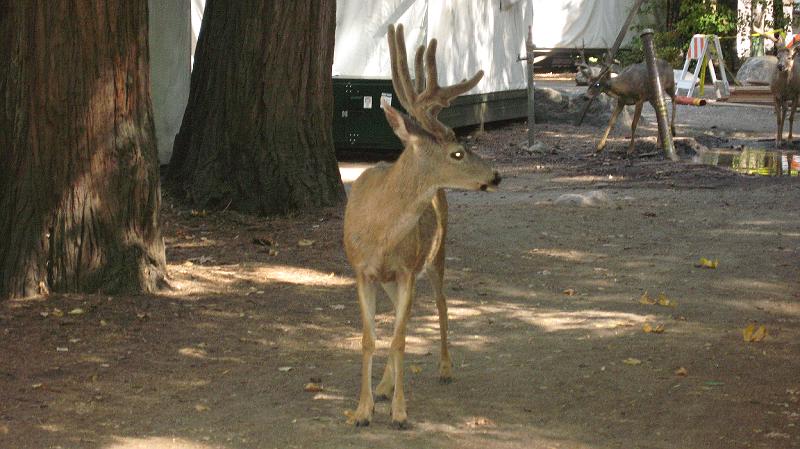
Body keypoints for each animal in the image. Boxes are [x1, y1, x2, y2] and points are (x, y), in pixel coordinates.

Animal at [343, 24, 500, 429]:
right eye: (457, 152)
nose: (497, 175)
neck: (380, 229)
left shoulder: (407, 269)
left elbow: (398, 339)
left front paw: (400, 413)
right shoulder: (362, 271)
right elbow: (370, 338)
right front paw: (363, 410)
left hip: (436, 253)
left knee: (442, 304)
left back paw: (444, 368)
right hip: (394, 278)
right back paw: (384, 386)